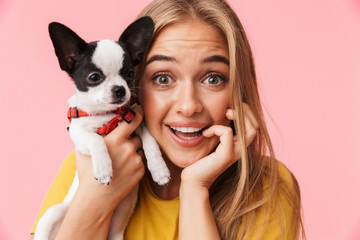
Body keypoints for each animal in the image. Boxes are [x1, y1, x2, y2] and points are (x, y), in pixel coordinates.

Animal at [33, 15, 170, 239]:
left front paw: (159, 170)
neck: (106, 115)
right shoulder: (79, 134)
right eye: (94, 77)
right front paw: (104, 168)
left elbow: (151, 141)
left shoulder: (136, 122)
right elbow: (96, 139)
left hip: (118, 226)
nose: (120, 89)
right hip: (52, 215)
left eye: (129, 74)